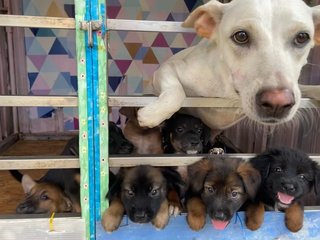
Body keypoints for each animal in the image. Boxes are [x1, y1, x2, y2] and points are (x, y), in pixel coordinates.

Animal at [138, 0, 320, 130]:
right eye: (241, 36)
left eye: (302, 37)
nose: (277, 103)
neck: (229, 90)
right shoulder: (168, 68)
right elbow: (175, 92)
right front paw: (153, 114)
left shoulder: (295, 87)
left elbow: (307, 88)